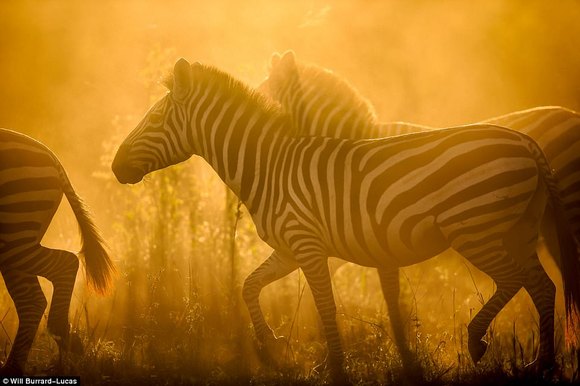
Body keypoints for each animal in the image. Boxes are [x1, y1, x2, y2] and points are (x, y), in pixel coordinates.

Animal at [0, 128, 115, 376]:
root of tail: (53, 158)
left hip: (15, 230)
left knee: (66, 263)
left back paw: (61, 331)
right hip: (17, 238)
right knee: (31, 301)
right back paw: (12, 368)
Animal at [112, 58, 580, 382]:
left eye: (154, 119)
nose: (115, 167)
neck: (270, 166)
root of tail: (526, 142)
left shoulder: (310, 247)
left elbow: (326, 307)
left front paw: (336, 368)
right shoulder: (290, 249)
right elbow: (249, 286)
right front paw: (269, 345)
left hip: (476, 230)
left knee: (518, 281)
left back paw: (481, 342)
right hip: (518, 231)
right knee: (543, 287)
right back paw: (540, 364)